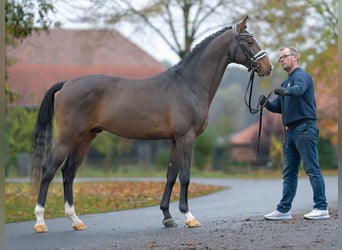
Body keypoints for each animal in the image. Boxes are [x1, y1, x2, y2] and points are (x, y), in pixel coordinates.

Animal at [31, 16, 272, 233]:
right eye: (249, 41)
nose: (267, 66)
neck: (188, 84)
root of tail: (67, 84)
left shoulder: (175, 140)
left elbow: (171, 176)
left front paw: (167, 217)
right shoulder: (186, 137)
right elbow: (185, 175)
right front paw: (189, 216)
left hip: (86, 136)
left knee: (69, 172)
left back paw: (76, 220)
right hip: (68, 137)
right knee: (49, 170)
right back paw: (40, 221)